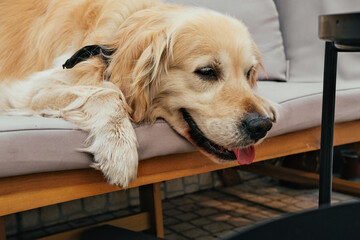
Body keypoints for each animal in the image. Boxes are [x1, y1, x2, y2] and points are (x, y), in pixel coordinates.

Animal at [0, 0, 278, 188]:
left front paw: (268, 102)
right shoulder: (27, 90)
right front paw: (119, 148)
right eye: (207, 72)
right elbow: (107, 92)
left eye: (249, 73)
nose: (261, 126)